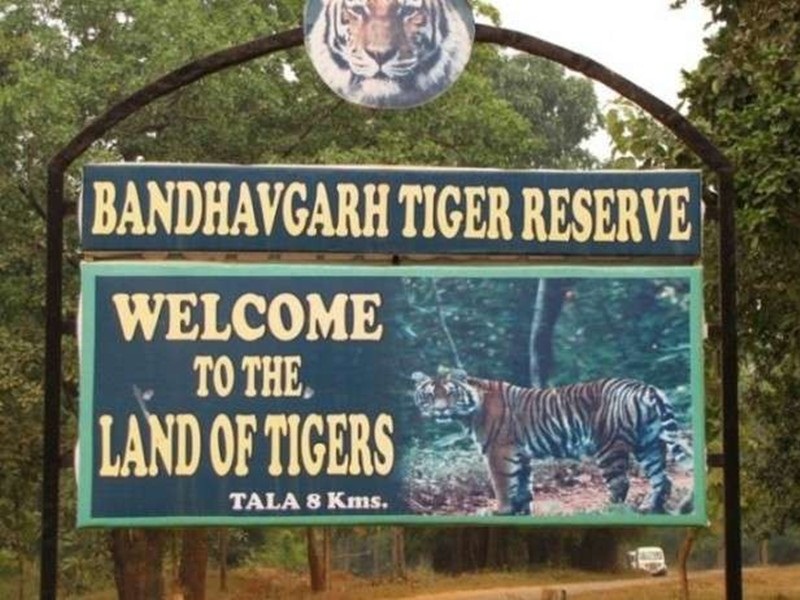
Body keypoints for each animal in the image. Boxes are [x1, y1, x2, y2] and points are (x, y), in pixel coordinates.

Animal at [412, 369, 692, 515]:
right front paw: (521, 512)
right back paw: (650, 508)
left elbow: (502, 485)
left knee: (620, 483)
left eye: (450, 393)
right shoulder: (520, 454)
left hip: (609, 446)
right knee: (662, 479)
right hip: (649, 444)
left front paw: (501, 511)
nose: (440, 410)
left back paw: (607, 511)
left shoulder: (498, 452)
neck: (469, 411)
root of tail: (646, 388)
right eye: (430, 395)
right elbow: (523, 487)